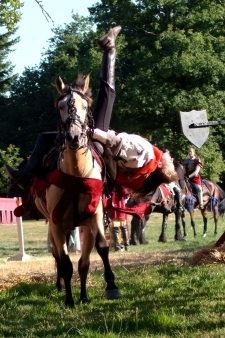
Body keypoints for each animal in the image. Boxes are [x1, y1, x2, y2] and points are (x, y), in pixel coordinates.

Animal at [27, 74, 120, 306]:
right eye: (61, 106)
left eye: (85, 106)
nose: (74, 136)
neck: (77, 173)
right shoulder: (57, 223)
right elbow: (66, 262)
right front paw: (69, 299)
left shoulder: (93, 218)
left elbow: (96, 253)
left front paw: (104, 289)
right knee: (58, 256)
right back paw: (61, 285)